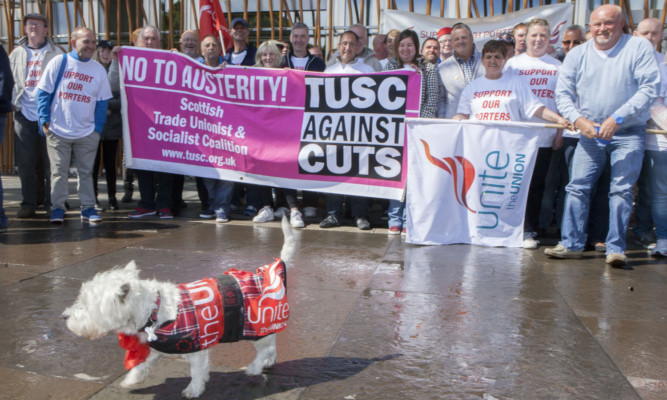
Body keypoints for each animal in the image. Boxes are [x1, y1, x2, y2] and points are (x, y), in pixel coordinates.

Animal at [63, 217, 294, 398]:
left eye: (85, 304)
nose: (64, 316)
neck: (153, 312)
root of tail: (275, 270)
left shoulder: (197, 347)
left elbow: (197, 371)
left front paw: (193, 390)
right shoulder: (154, 345)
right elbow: (142, 364)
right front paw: (131, 380)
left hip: (258, 325)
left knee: (265, 348)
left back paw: (254, 368)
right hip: (265, 328)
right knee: (271, 344)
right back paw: (267, 363)